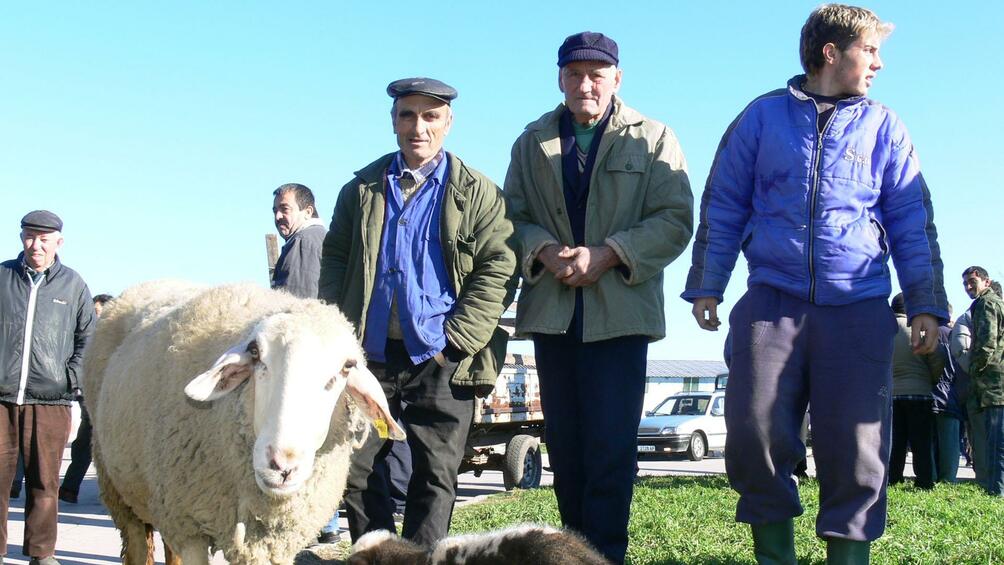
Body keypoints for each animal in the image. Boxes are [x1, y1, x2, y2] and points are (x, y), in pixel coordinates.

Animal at [84, 283, 401, 565]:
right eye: (255, 353)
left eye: (347, 367)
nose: (282, 465)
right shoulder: (190, 527)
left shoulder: (272, 545)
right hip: (119, 485)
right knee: (137, 543)